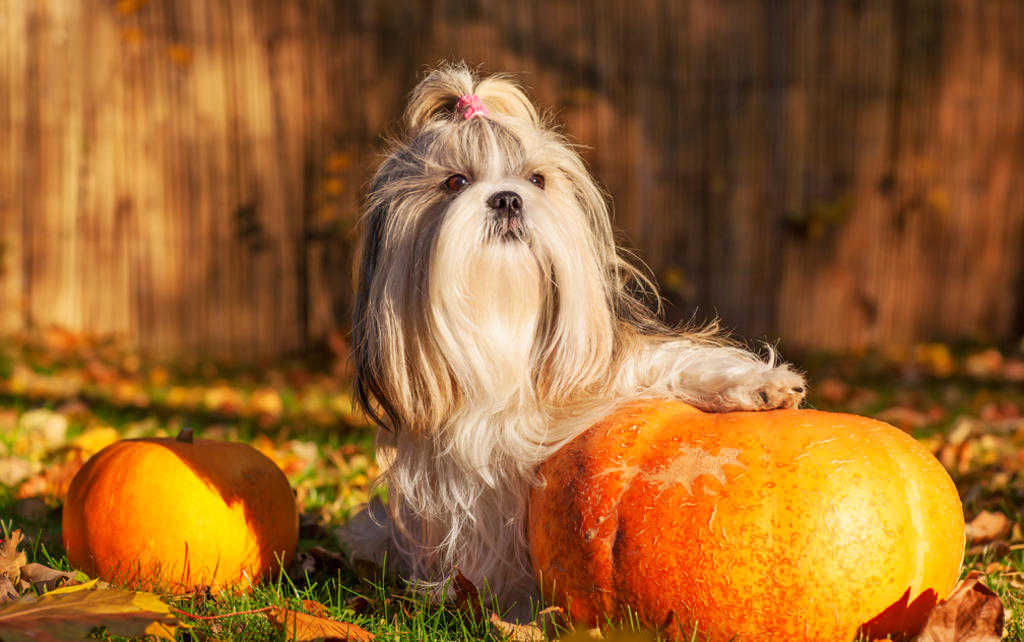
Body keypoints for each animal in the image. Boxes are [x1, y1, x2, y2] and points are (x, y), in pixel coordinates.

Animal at [346, 62, 806, 614]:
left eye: (536, 179)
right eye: (455, 182)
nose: (507, 198)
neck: (505, 325)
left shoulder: (615, 370)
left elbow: (675, 365)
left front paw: (760, 385)